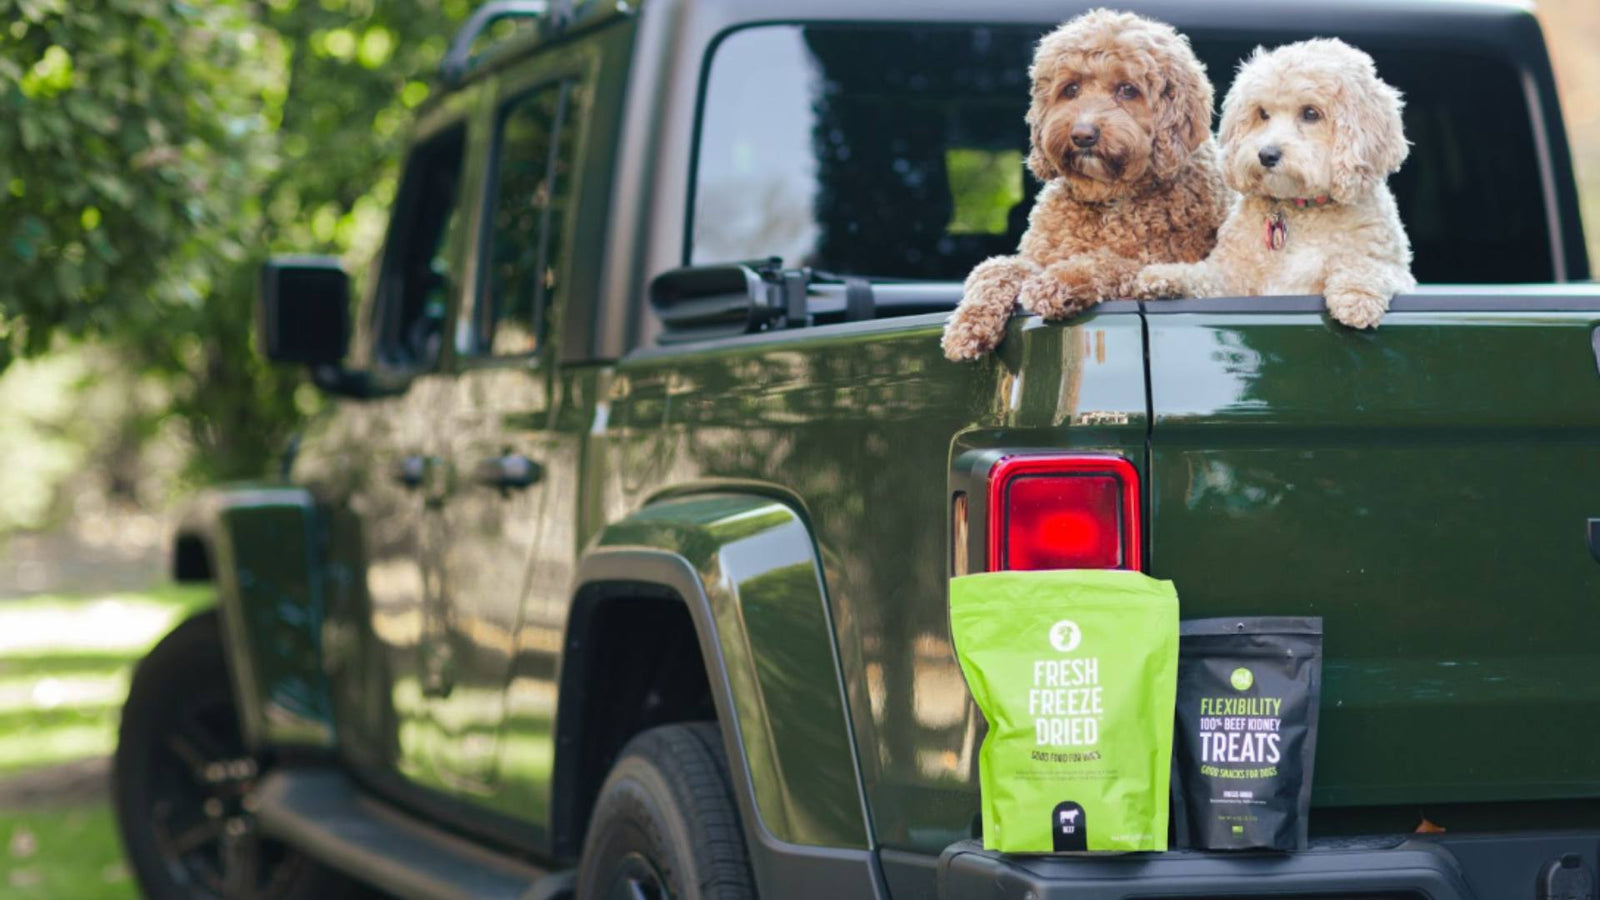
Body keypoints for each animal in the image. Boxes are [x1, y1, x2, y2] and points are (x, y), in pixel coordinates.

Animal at [940, 10, 1228, 360]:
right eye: (1071, 88)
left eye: (1127, 90)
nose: (1082, 135)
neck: (1106, 198)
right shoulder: (1036, 257)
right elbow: (995, 269)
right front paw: (967, 325)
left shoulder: (1156, 262)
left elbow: (1105, 263)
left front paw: (1057, 282)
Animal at [1139, 38, 1414, 328]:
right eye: (1262, 113)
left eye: (1311, 113)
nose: (1266, 154)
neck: (1301, 209)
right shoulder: (1231, 276)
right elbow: (1204, 276)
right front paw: (1164, 276)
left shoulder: (1391, 268)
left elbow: (1368, 267)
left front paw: (1357, 296)